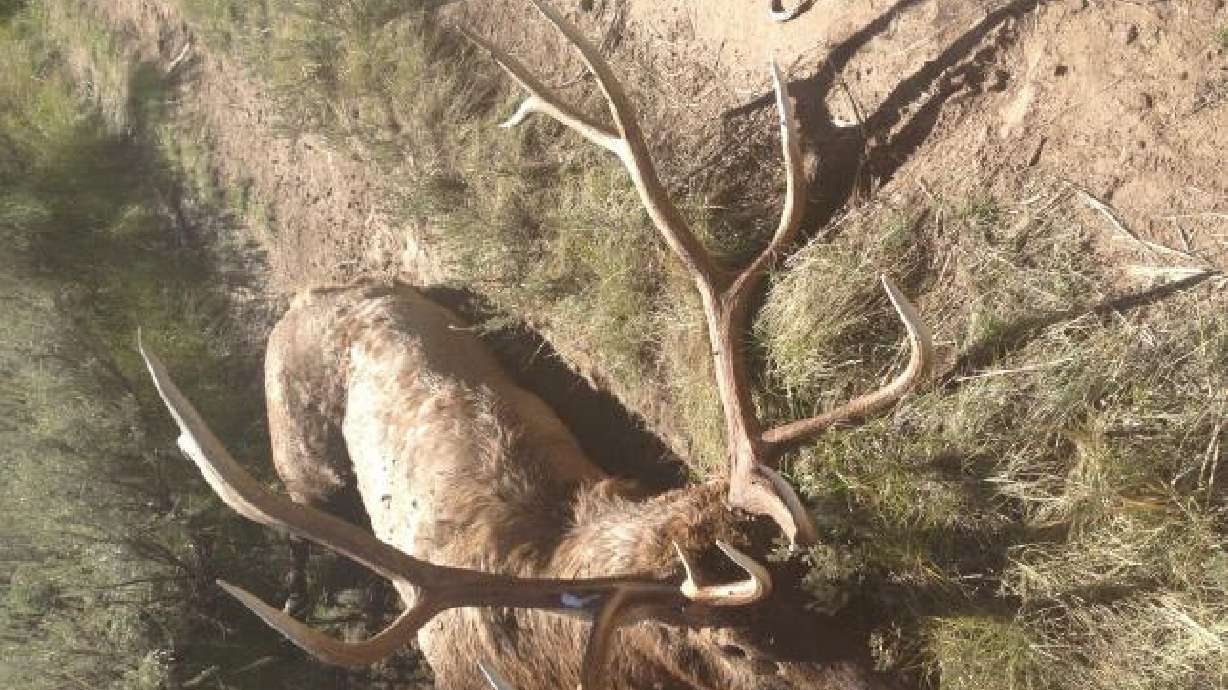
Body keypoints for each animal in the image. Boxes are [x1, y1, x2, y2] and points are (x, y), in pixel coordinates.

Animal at [139, 2, 934, 689]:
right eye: (737, 648)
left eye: (802, 585)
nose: (872, 680)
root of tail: (308, 295)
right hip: (297, 446)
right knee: (298, 514)